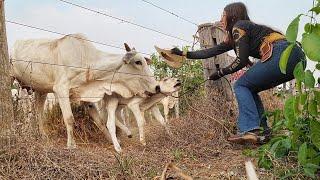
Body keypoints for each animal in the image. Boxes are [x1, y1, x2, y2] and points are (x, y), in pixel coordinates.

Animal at [11, 34, 159, 149]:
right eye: (138, 62)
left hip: (40, 90)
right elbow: (69, 118)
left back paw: (42, 135)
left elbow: (100, 121)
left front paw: (113, 141)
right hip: (13, 79)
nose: (157, 87)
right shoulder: (61, 89)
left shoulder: (87, 97)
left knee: (39, 112)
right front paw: (71, 145)